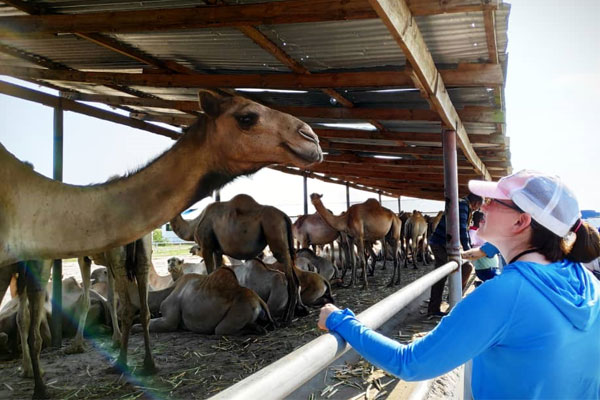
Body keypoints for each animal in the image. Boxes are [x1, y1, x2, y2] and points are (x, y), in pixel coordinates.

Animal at [168, 195, 302, 324]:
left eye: (197, 248)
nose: (190, 250)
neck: (194, 224)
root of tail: (285, 216)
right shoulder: (217, 250)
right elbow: (217, 269)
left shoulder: (207, 247)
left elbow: (210, 271)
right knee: (294, 273)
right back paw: (292, 313)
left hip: (275, 232)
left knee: (288, 273)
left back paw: (287, 318)